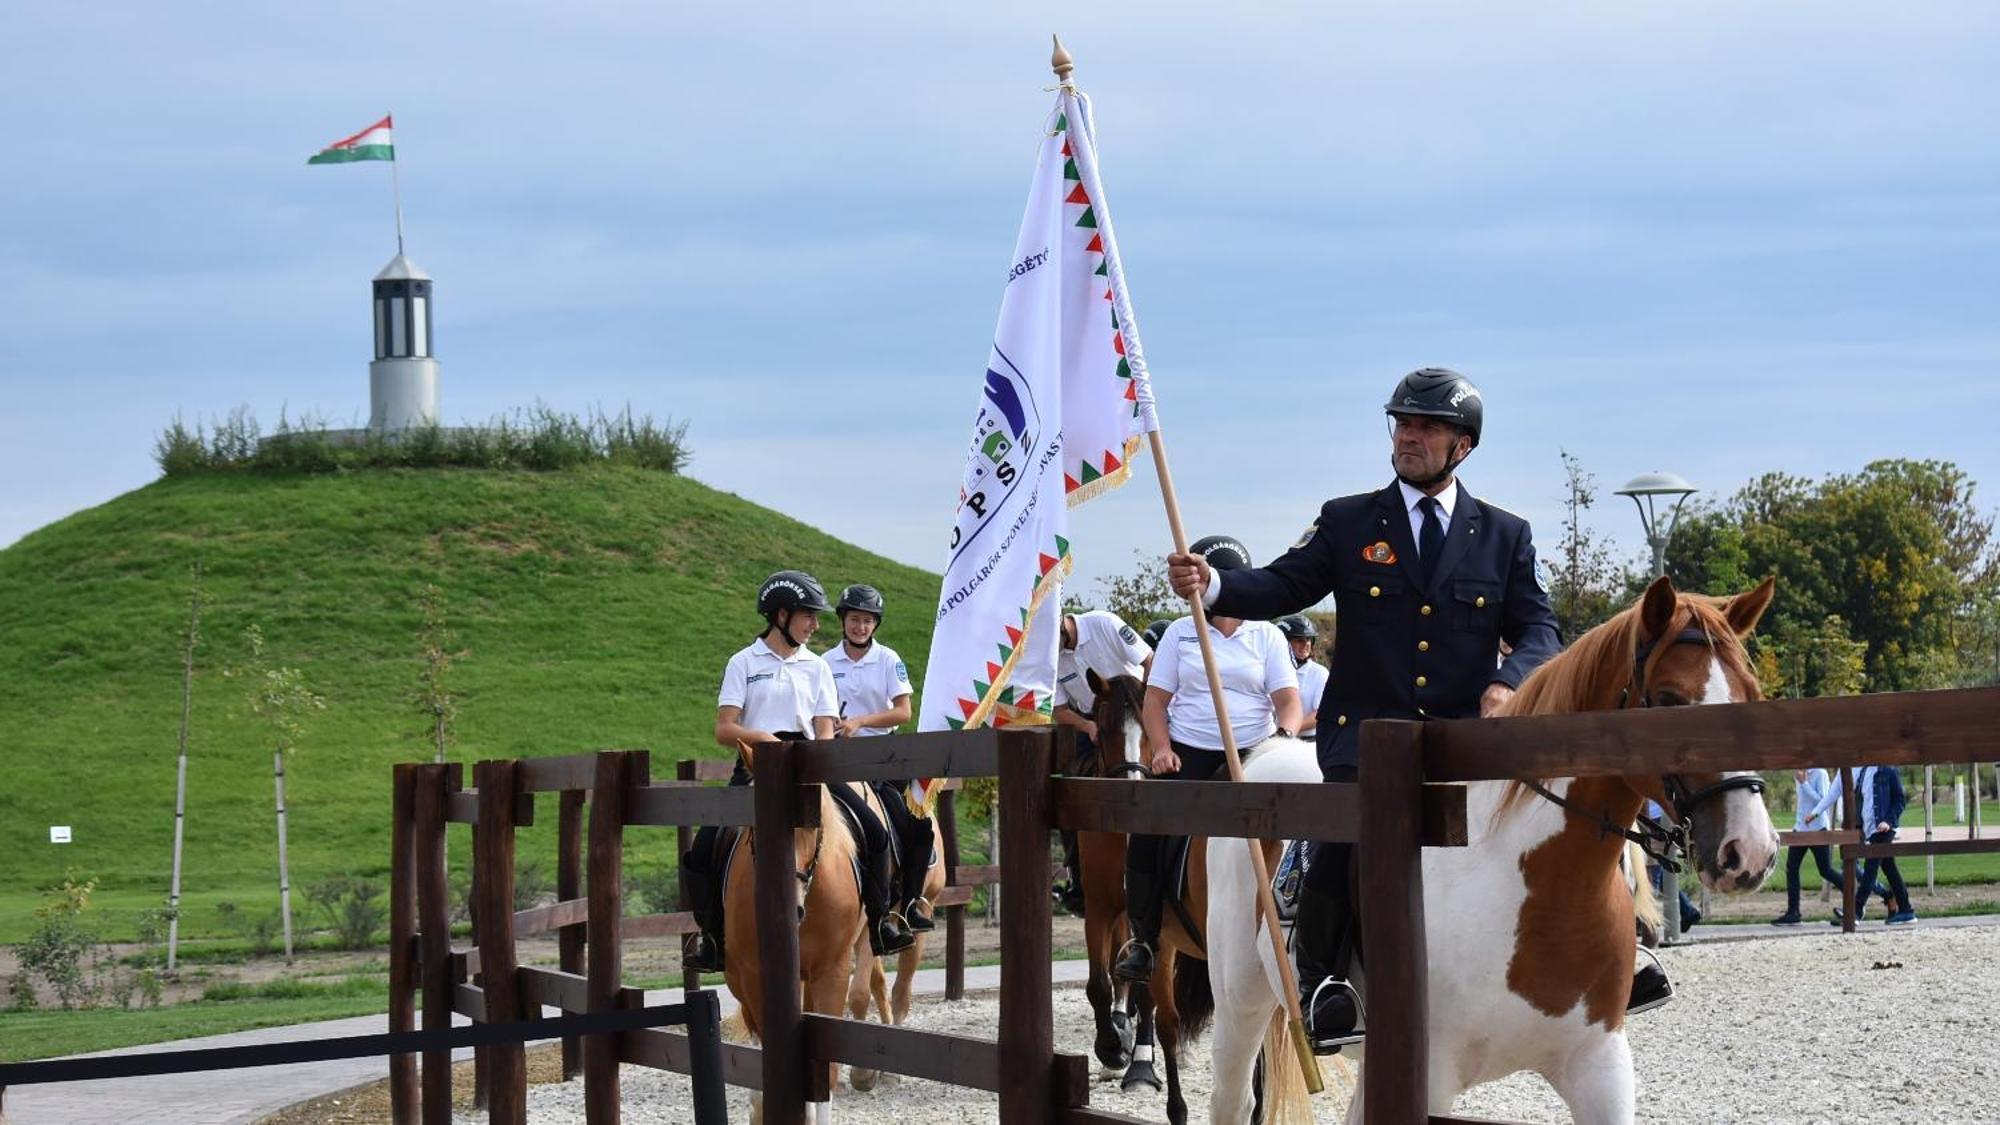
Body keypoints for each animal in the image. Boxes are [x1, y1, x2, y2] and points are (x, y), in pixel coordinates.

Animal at [1200, 576, 1784, 1120]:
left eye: (1753, 697)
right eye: (1667, 701)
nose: (1749, 852)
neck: (1537, 890)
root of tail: (1264, 760)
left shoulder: (1600, 1067)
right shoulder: (1430, 1079)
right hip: (1240, 1005)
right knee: (1232, 1099)